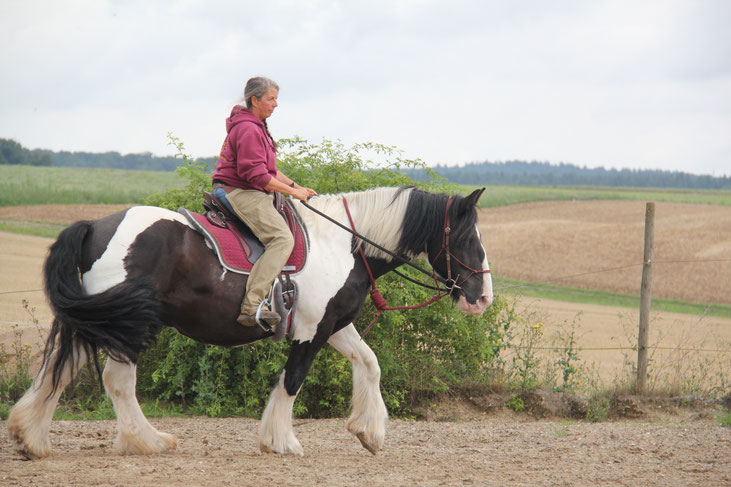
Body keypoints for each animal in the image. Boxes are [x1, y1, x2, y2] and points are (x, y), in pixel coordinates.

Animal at [7, 186, 493, 458]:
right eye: (467, 238)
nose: (483, 297)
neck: (344, 244)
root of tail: (95, 226)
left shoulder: (333, 324)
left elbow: (369, 363)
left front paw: (369, 431)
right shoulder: (311, 331)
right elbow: (292, 381)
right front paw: (280, 441)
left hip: (98, 321)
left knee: (59, 369)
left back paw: (32, 439)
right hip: (130, 325)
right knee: (117, 382)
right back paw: (147, 441)